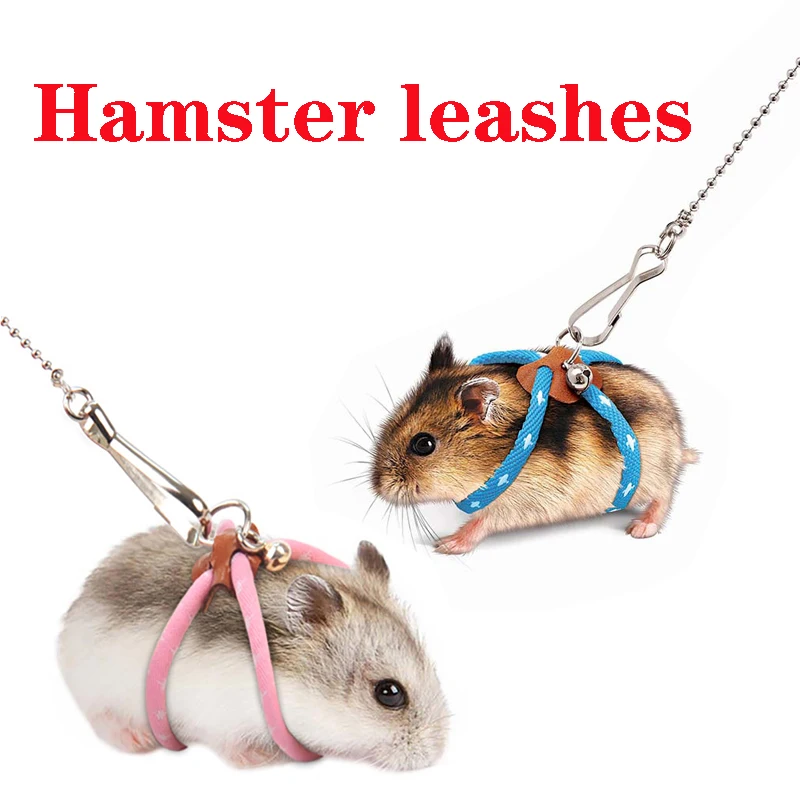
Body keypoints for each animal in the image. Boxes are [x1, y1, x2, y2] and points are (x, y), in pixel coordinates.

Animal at [58, 527, 448, 770]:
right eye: (389, 693)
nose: (434, 756)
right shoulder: (214, 713)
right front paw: (260, 759)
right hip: (99, 685)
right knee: (102, 717)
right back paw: (135, 739)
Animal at [371, 335, 697, 554]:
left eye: (423, 444)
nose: (377, 487)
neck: (499, 453)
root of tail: (679, 443)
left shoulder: (523, 501)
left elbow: (482, 521)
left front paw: (444, 545)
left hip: (655, 471)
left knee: (665, 496)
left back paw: (640, 528)